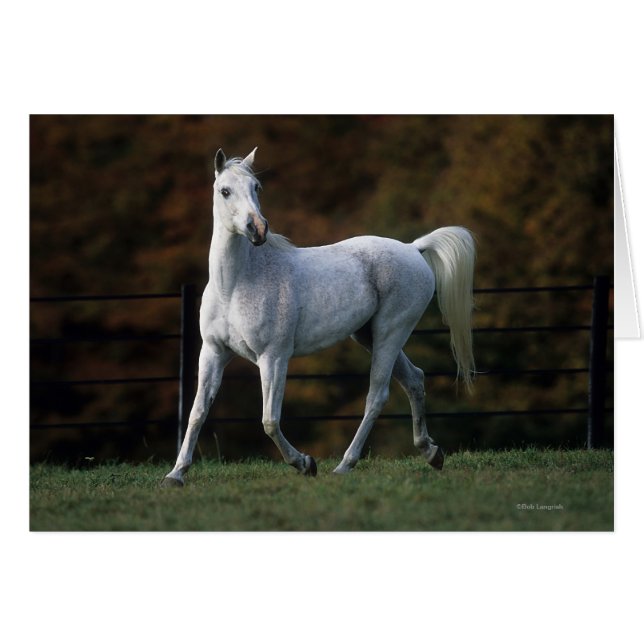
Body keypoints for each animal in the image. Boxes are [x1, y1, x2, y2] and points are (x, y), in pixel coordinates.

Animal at [162, 148, 475, 486]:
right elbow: (197, 413)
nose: (257, 229)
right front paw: (175, 474)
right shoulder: (213, 353)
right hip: (369, 335)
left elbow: (269, 420)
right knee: (415, 379)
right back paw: (431, 453)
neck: (234, 285)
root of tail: (413, 248)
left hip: (391, 333)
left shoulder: (273, 358)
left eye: (256, 188)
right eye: (225, 191)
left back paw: (345, 464)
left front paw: (305, 463)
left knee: (377, 395)